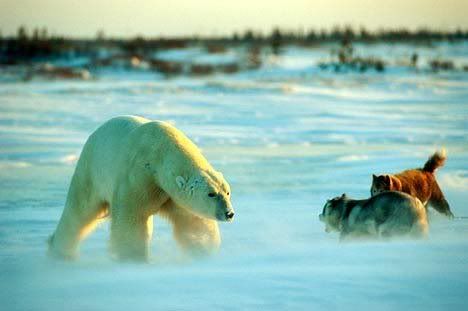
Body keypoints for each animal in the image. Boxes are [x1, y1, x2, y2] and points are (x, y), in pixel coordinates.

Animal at [48, 116, 234, 262]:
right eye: (211, 194)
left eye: (227, 192)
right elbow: (132, 218)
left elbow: (194, 222)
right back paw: (59, 251)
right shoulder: (139, 176)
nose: (229, 213)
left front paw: (206, 254)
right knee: (79, 210)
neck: (161, 152)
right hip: (92, 170)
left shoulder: (172, 194)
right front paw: (134, 259)